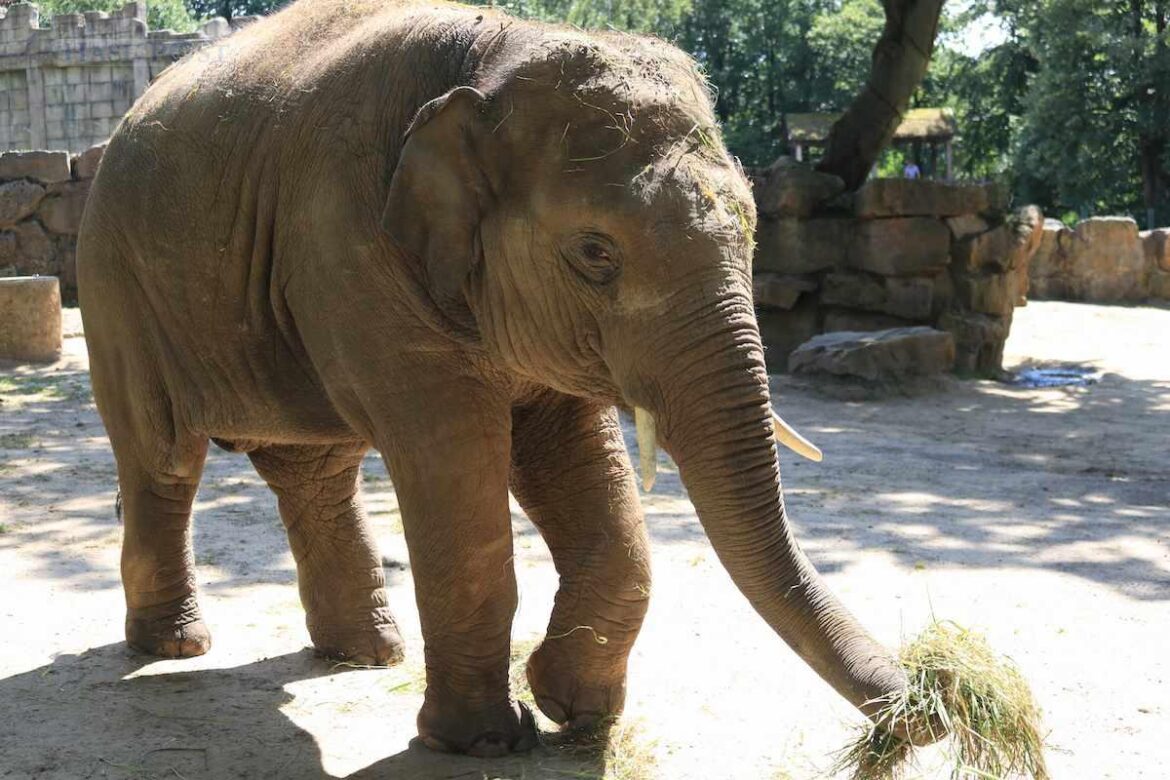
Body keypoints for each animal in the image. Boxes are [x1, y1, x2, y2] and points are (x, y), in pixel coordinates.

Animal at [77, 0, 924, 757]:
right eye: (595, 253)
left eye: (752, 229)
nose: (928, 707)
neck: (496, 53)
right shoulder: (351, 248)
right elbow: (454, 465)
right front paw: (484, 740)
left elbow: (577, 459)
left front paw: (573, 710)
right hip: (115, 284)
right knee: (163, 460)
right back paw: (177, 646)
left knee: (315, 472)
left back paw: (365, 654)